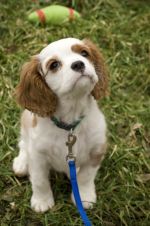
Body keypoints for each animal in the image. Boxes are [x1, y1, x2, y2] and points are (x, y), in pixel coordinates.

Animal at [12, 38, 108, 213]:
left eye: (84, 53)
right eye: (54, 65)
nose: (78, 64)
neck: (70, 122)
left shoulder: (96, 149)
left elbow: (86, 176)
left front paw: (84, 197)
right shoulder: (38, 155)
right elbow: (39, 180)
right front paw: (42, 201)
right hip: (26, 120)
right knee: (23, 143)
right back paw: (21, 163)